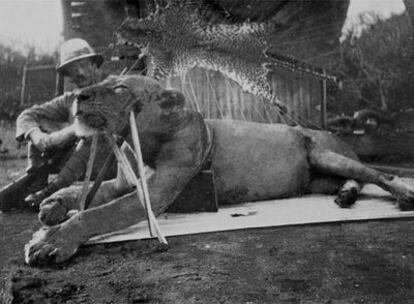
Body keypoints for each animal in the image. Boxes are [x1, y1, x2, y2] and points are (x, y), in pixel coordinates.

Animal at [24, 75, 414, 264]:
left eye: (119, 88)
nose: (78, 96)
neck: (143, 139)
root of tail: (332, 132)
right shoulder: (123, 184)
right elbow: (86, 192)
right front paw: (53, 204)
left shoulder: (156, 194)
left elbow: (96, 214)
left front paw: (51, 241)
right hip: (317, 180)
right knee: (353, 181)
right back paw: (346, 196)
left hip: (326, 155)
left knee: (377, 175)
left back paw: (404, 194)